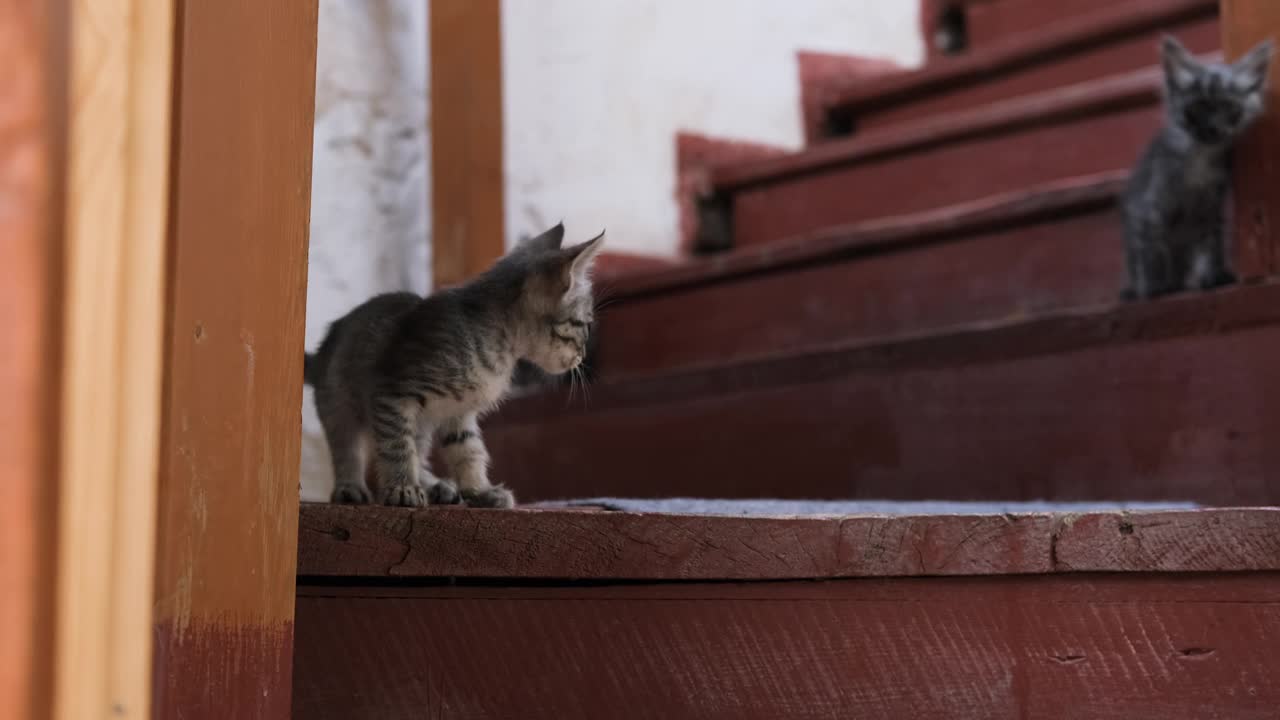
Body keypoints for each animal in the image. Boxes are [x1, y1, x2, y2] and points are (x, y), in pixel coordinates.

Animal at [304, 221, 604, 507]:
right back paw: (351, 486)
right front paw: (403, 487)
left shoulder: (459, 413)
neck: (499, 346)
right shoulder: (391, 393)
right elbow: (397, 446)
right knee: (348, 448)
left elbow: (469, 451)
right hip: (340, 403)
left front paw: (480, 491)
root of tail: (322, 350)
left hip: (420, 424)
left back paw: (437, 486)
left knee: (417, 451)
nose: (582, 357)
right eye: (586, 325)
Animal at [1121, 35, 1269, 299]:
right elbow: (1152, 249)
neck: (1200, 157)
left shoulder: (1210, 210)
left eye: (1229, 108)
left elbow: (1212, 245)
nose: (1213, 128)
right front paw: (1154, 288)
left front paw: (1214, 276)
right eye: (1199, 107)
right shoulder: (1151, 207)